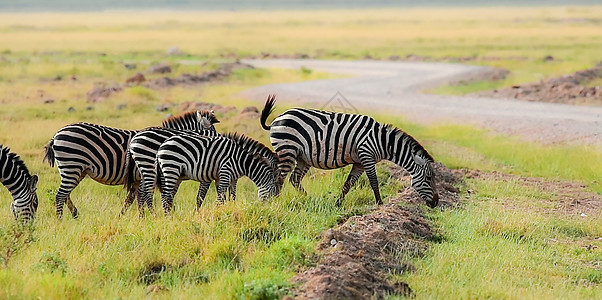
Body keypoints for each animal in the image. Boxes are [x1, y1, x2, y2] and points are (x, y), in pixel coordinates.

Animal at [44, 111, 218, 219]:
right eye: (211, 139)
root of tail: (56, 135)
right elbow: (155, 196)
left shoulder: (137, 179)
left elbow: (129, 200)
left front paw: (121, 218)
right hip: (72, 166)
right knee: (60, 195)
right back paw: (60, 221)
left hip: (77, 170)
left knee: (65, 194)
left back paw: (74, 214)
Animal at [258, 96, 436, 209]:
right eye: (429, 178)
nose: (436, 203)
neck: (383, 141)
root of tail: (277, 119)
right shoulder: (366, 155)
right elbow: (374, 181)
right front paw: (380, 204)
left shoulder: (359, 162)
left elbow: (348, 184)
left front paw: (338, 203)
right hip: (287, 150)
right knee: (279, 178)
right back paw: (276, 201)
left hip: (302, 157)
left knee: (294, 179)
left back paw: (309, 198)